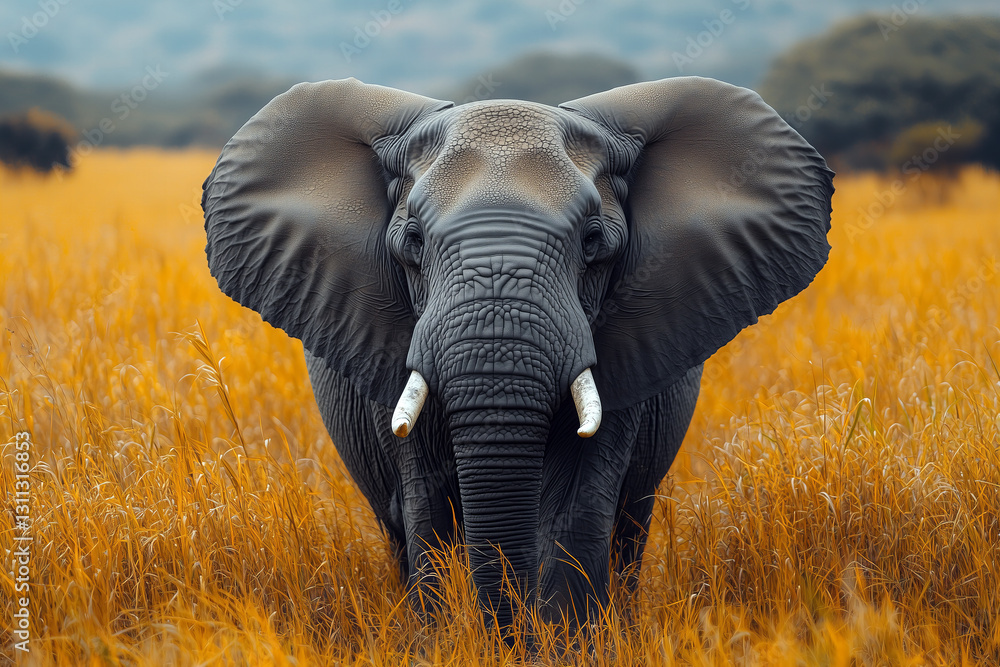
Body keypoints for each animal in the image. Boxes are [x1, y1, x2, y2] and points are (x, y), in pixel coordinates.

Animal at [202, 76, 834, 630]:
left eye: (593, 243)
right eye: (412, 243)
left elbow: (575, 508)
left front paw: (561, 643)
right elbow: (428, 505)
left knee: (628, 528)